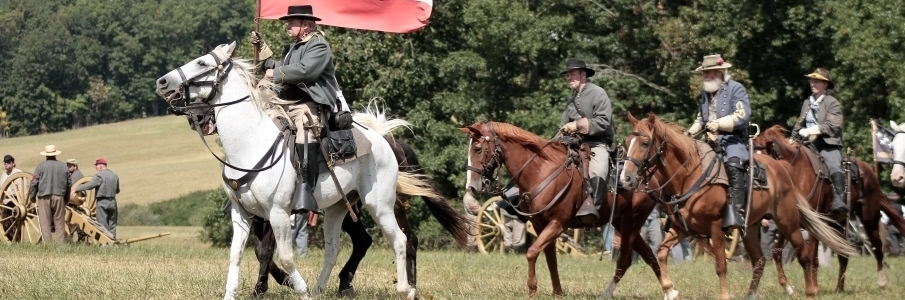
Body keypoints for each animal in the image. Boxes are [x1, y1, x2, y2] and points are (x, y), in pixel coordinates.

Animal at [156, 42, 420, 300]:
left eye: (202, 63)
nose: (162, 82)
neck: (250, 144)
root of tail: (382, 139)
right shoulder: (241, 213)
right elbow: (236, 255)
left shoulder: (278, 214)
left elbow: (283, 256)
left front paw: (297, 289)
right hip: (337, 208)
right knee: (334, 248)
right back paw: (320, 290)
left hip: (380, 205)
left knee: (400, 240)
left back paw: (406, 290)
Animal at [462, 121, 660, 298]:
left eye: (478, 149)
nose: (472, 186)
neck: (542, 170)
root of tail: (650, 179)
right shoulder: (540, 226)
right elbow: (551, 259)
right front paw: (557, 292)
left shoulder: (557, 224)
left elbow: (532, 252)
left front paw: (532, 289)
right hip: (625, 225)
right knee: (650, 256)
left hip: (630, 224)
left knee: (628, 260)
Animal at [616, 113, 860, 300]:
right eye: (628, 143)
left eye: (645, 143)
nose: (626, 179)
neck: (689, 175)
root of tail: (782, 168)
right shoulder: (682, 229)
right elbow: (661, 252)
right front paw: (670, 289)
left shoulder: (716, 228)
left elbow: (721, 265)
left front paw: (724, 295)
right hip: (751, 228)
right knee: (760, 260)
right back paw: (751, 294)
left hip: (788, 222)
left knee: (804, 254)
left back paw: (810, 291)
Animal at [752, 124, 904, 292]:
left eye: (763, 156)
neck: (797, 173)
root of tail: (868, 170)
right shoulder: (790, 224)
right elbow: (776, 252)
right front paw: (788, 287)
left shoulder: (813, 224)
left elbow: (812, 256)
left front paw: (813, 287)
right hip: (838, 224)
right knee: (843, 255)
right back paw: (839, 288)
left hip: (869, 218)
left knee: (877, 247)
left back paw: (882, 283)